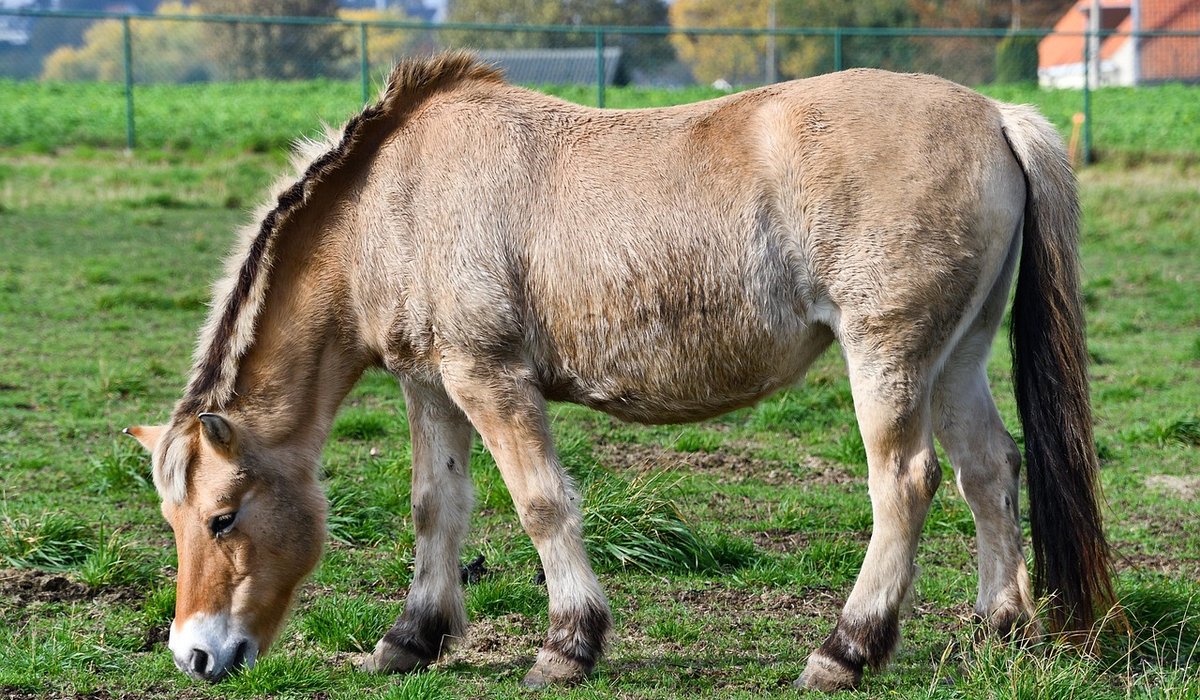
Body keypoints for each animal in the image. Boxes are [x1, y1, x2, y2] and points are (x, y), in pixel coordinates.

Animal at [126, 51, 1116, 690]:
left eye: (221, 518)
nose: (196, 656)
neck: (391, 201)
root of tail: (996, 115)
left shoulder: (490, 379)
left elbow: (540, 504)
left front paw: (568, 645)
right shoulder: (429, 384)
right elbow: (436, 505)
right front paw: (411, 638)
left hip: (890, 356)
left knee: (905, 483)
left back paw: (847, 650)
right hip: (958, 356)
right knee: (988, 469)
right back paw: (1000, 630)